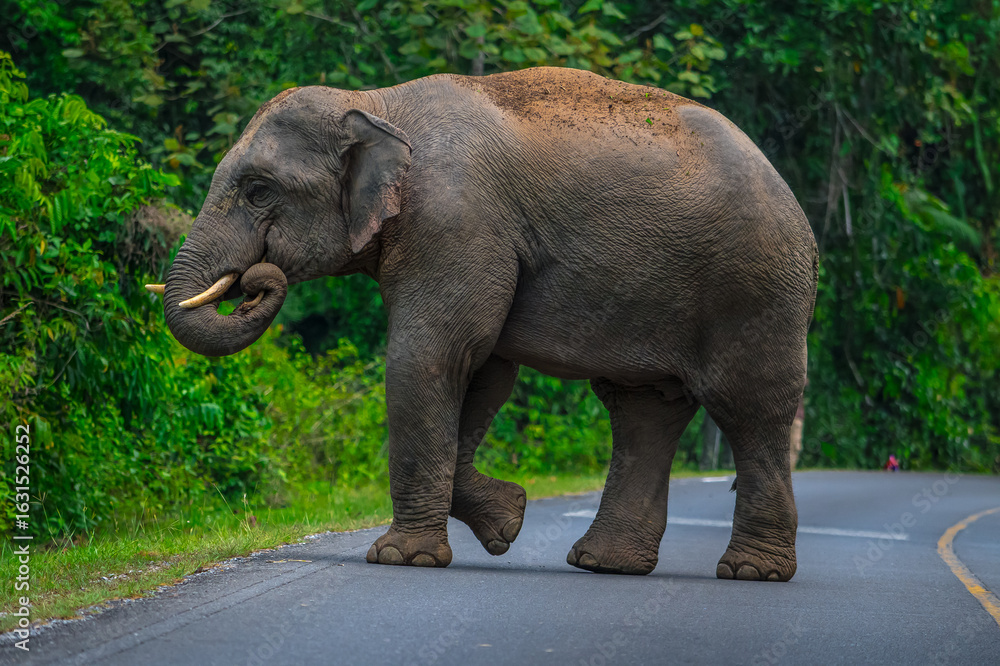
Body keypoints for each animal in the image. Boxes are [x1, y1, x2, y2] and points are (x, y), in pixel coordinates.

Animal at [150, 66, 817, 581]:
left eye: (259, 191)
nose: (256, 280)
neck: (376, 104)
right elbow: (483, 368)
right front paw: (508, 520)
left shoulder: (455, 221)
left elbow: (432, 355)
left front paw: (401, 560)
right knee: (643, 409)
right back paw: (603, 564)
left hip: (755, 291)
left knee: (749, 410)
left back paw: (749, 572)